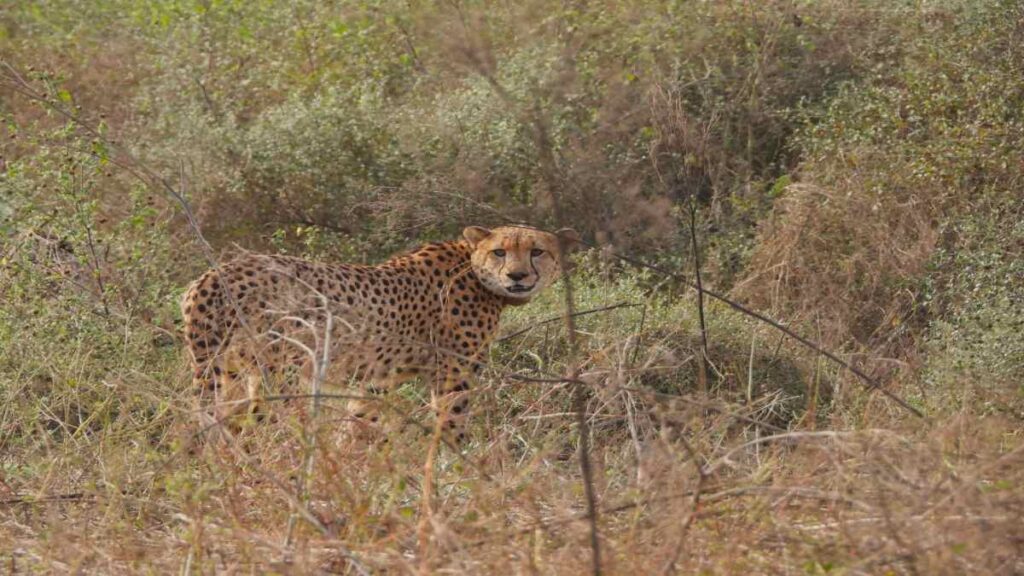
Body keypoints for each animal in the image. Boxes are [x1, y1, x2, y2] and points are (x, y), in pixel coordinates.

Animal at [180, 225, 580, 445]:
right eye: (499, 252)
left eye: (537, 251)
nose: (517, 276)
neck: (474, 269)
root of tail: (215, 273)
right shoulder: (454, 375)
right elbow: (451, 424)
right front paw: (458, 468)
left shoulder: (377, 379)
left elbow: (360, 420)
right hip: (278, 375)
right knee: (254, 426)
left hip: (228, 371)